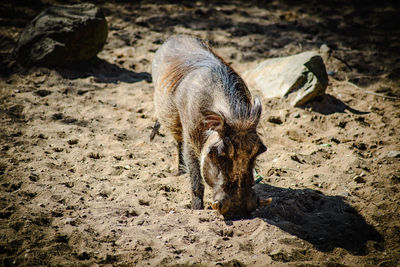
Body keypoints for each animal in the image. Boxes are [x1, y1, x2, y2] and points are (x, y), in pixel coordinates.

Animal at [152, 35, 270, 219]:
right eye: (219, 153)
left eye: (260, 150)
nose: (239, 212)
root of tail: (176, 36)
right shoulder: (190, 140)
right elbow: (196, 180)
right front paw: (196, 209)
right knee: (178, 143)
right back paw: (180, 172)